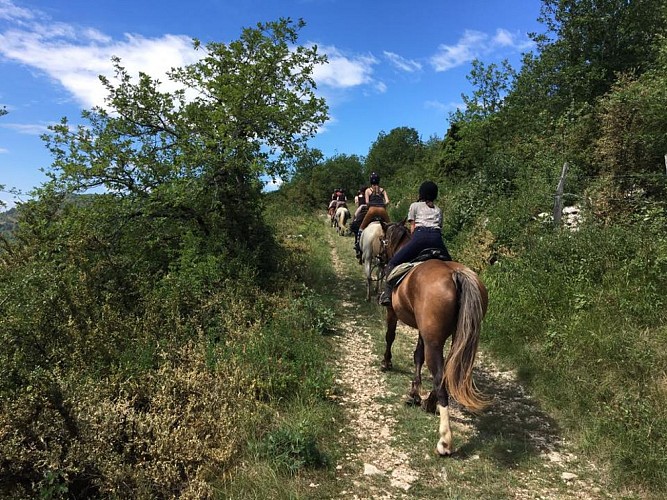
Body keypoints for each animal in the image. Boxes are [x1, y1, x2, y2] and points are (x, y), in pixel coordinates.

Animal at [382, 220, 489, 456]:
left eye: (383, 240)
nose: (381, 258)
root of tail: (455, 274)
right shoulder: (424, 330)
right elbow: (417, 355)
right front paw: (414, 392)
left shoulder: (392, 313)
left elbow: (390, 336)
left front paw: (386, 362)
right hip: (454, 337)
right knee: (446, 371)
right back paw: (430, 403)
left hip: (434, 340)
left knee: (440, 378)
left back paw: (445, 441)